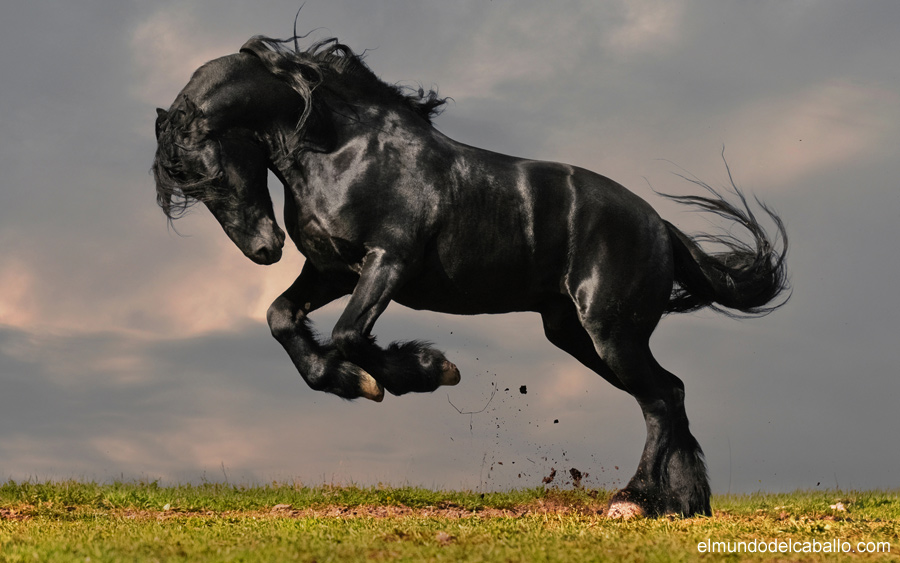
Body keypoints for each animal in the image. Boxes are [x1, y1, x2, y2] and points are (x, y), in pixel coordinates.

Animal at [153, 34, 789, 518]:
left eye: (210, 173)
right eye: (187, 185)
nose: (264, 249)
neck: (343, 150)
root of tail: (659, 226)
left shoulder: (387, 262)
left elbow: (349, 334)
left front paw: (423, 371)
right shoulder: (332, 269)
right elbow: (282, 318)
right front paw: (351, 381)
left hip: (611, 333)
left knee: (660, 398)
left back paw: (634, 500)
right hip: (576, 335)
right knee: (669, 393)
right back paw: (682, 504)